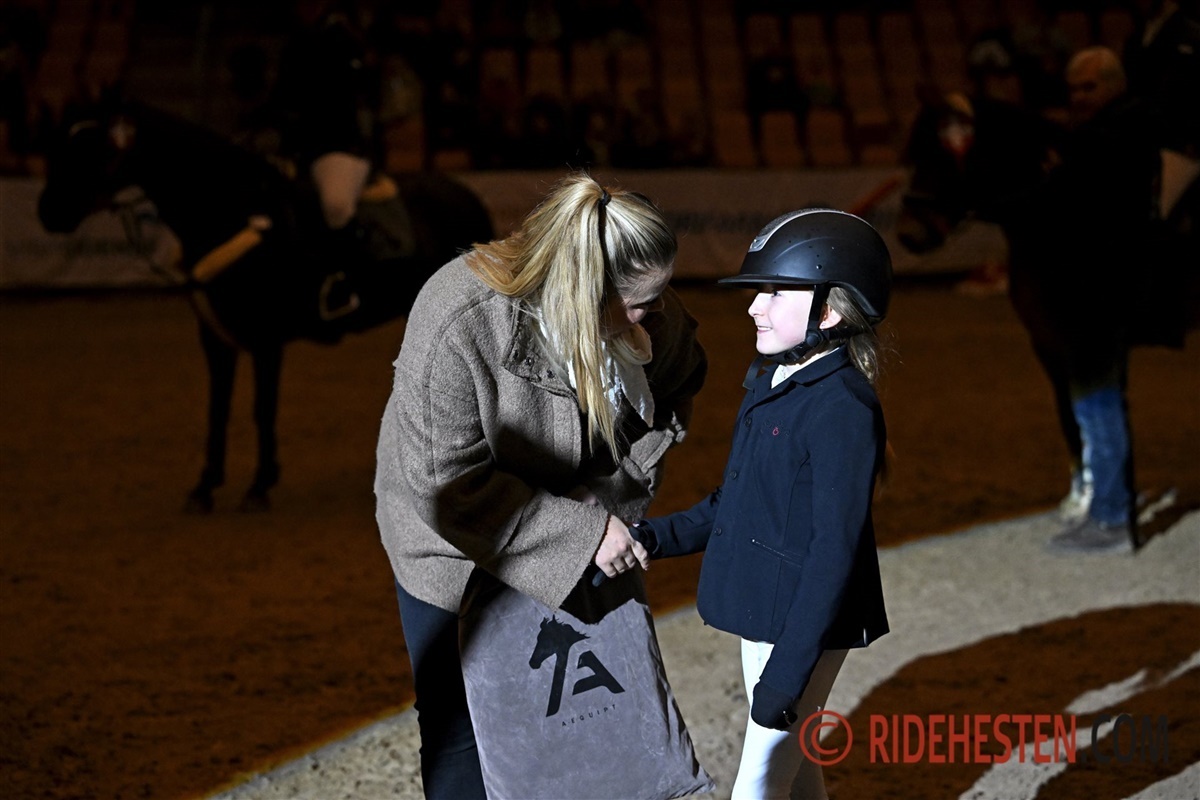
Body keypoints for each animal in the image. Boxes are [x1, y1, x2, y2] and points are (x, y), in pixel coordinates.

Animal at [38, 100, 494, 512]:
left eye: (94, 150)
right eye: (58, 146)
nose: (47, 212)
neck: (231, 214)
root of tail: (466, 194)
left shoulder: (265, 342)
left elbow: (261, 409)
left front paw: (258, 485)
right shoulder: (216, 340)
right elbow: (217, 411)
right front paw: (205, 486)